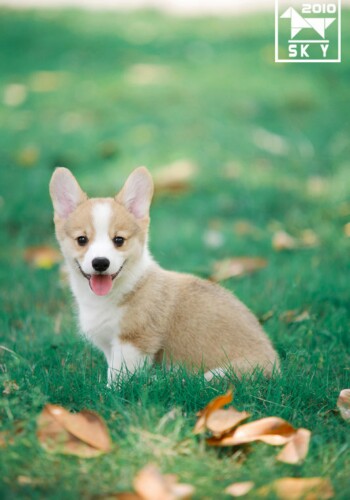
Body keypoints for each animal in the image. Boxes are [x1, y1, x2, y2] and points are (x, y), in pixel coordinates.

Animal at [50, 167, 278, 382]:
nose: (100, 263)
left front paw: (110, 392)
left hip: (222, 373)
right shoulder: (110, 345)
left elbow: (118, 378)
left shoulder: (133, 343)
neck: (121, 290)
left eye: (119, 240)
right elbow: (111, 371)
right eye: (82, 240)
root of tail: (276, 364)